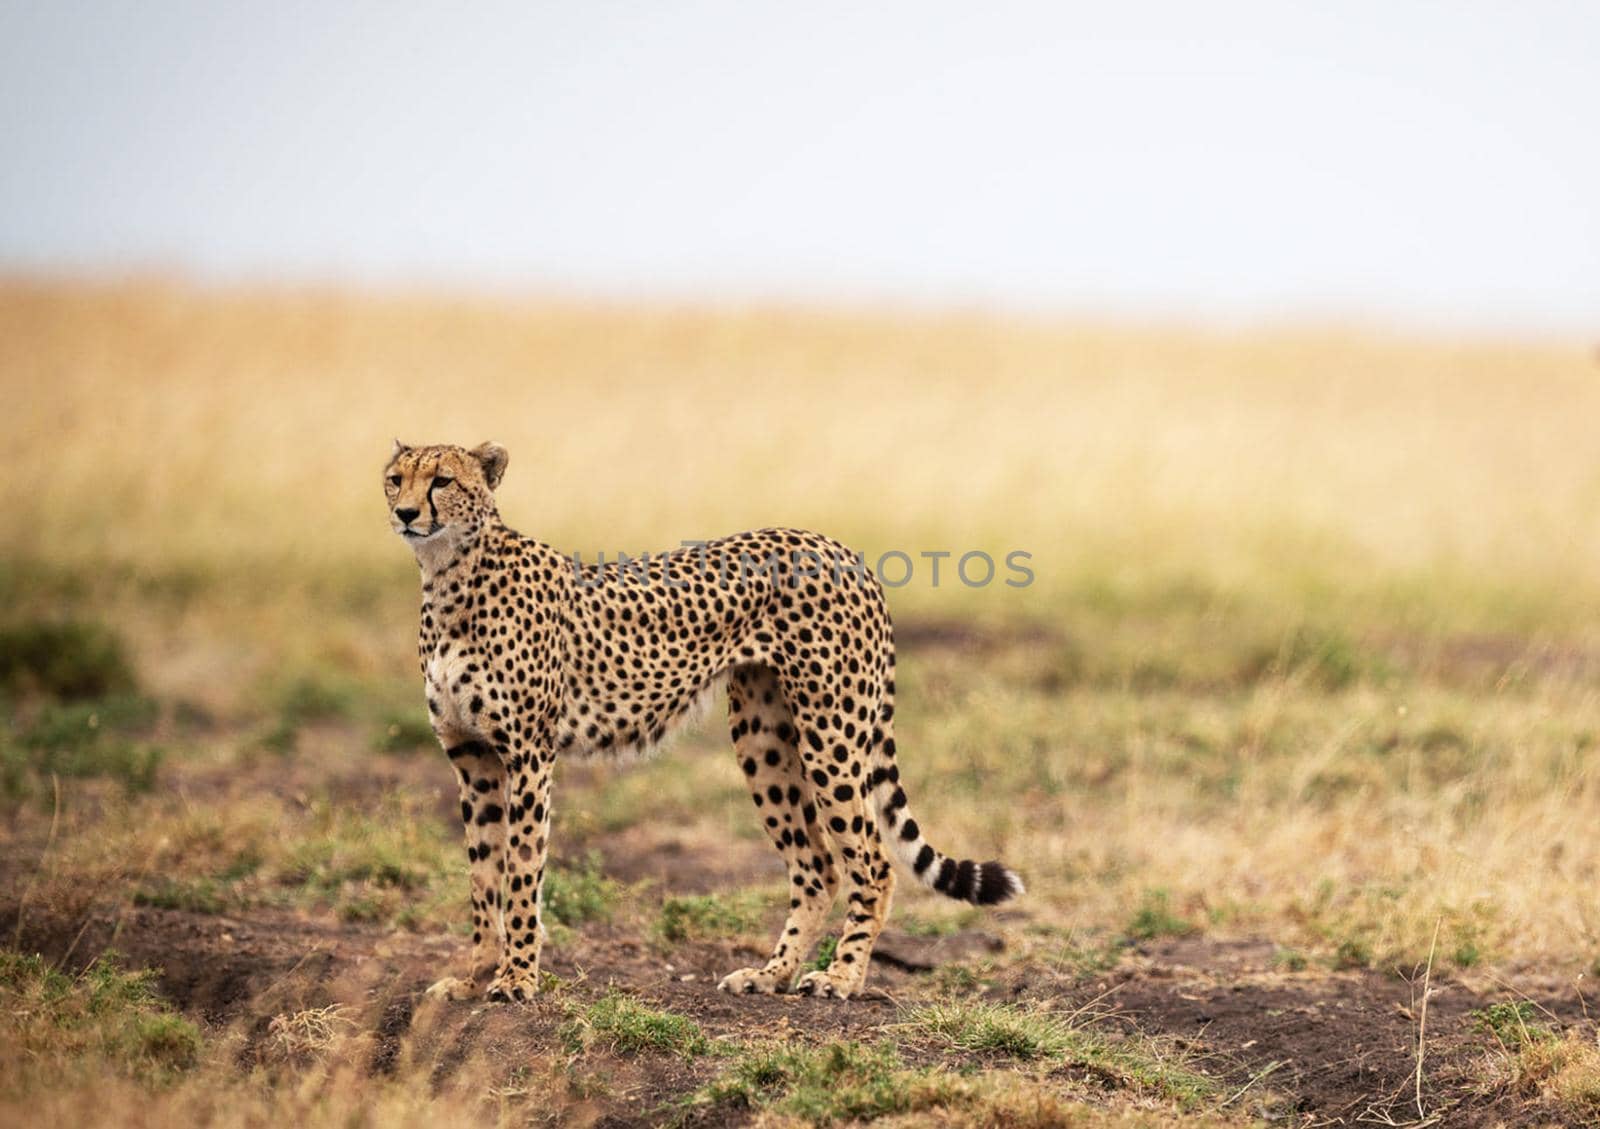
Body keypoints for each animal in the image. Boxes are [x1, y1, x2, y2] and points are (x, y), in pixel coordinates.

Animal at [380, 441, 1017, 1004]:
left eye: (442, 480)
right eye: (395, 479)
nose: (405, 513)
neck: (450, 576)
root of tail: (836, 546)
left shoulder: (528, 756)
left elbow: (519, 875)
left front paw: (515, 980)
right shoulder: (473, 760)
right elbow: (483, 878)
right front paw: (473, 979)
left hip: (830, 734)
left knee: (874, 863)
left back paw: (840, 978)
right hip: (764, 741)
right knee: (817, 867)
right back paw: (771, 975)